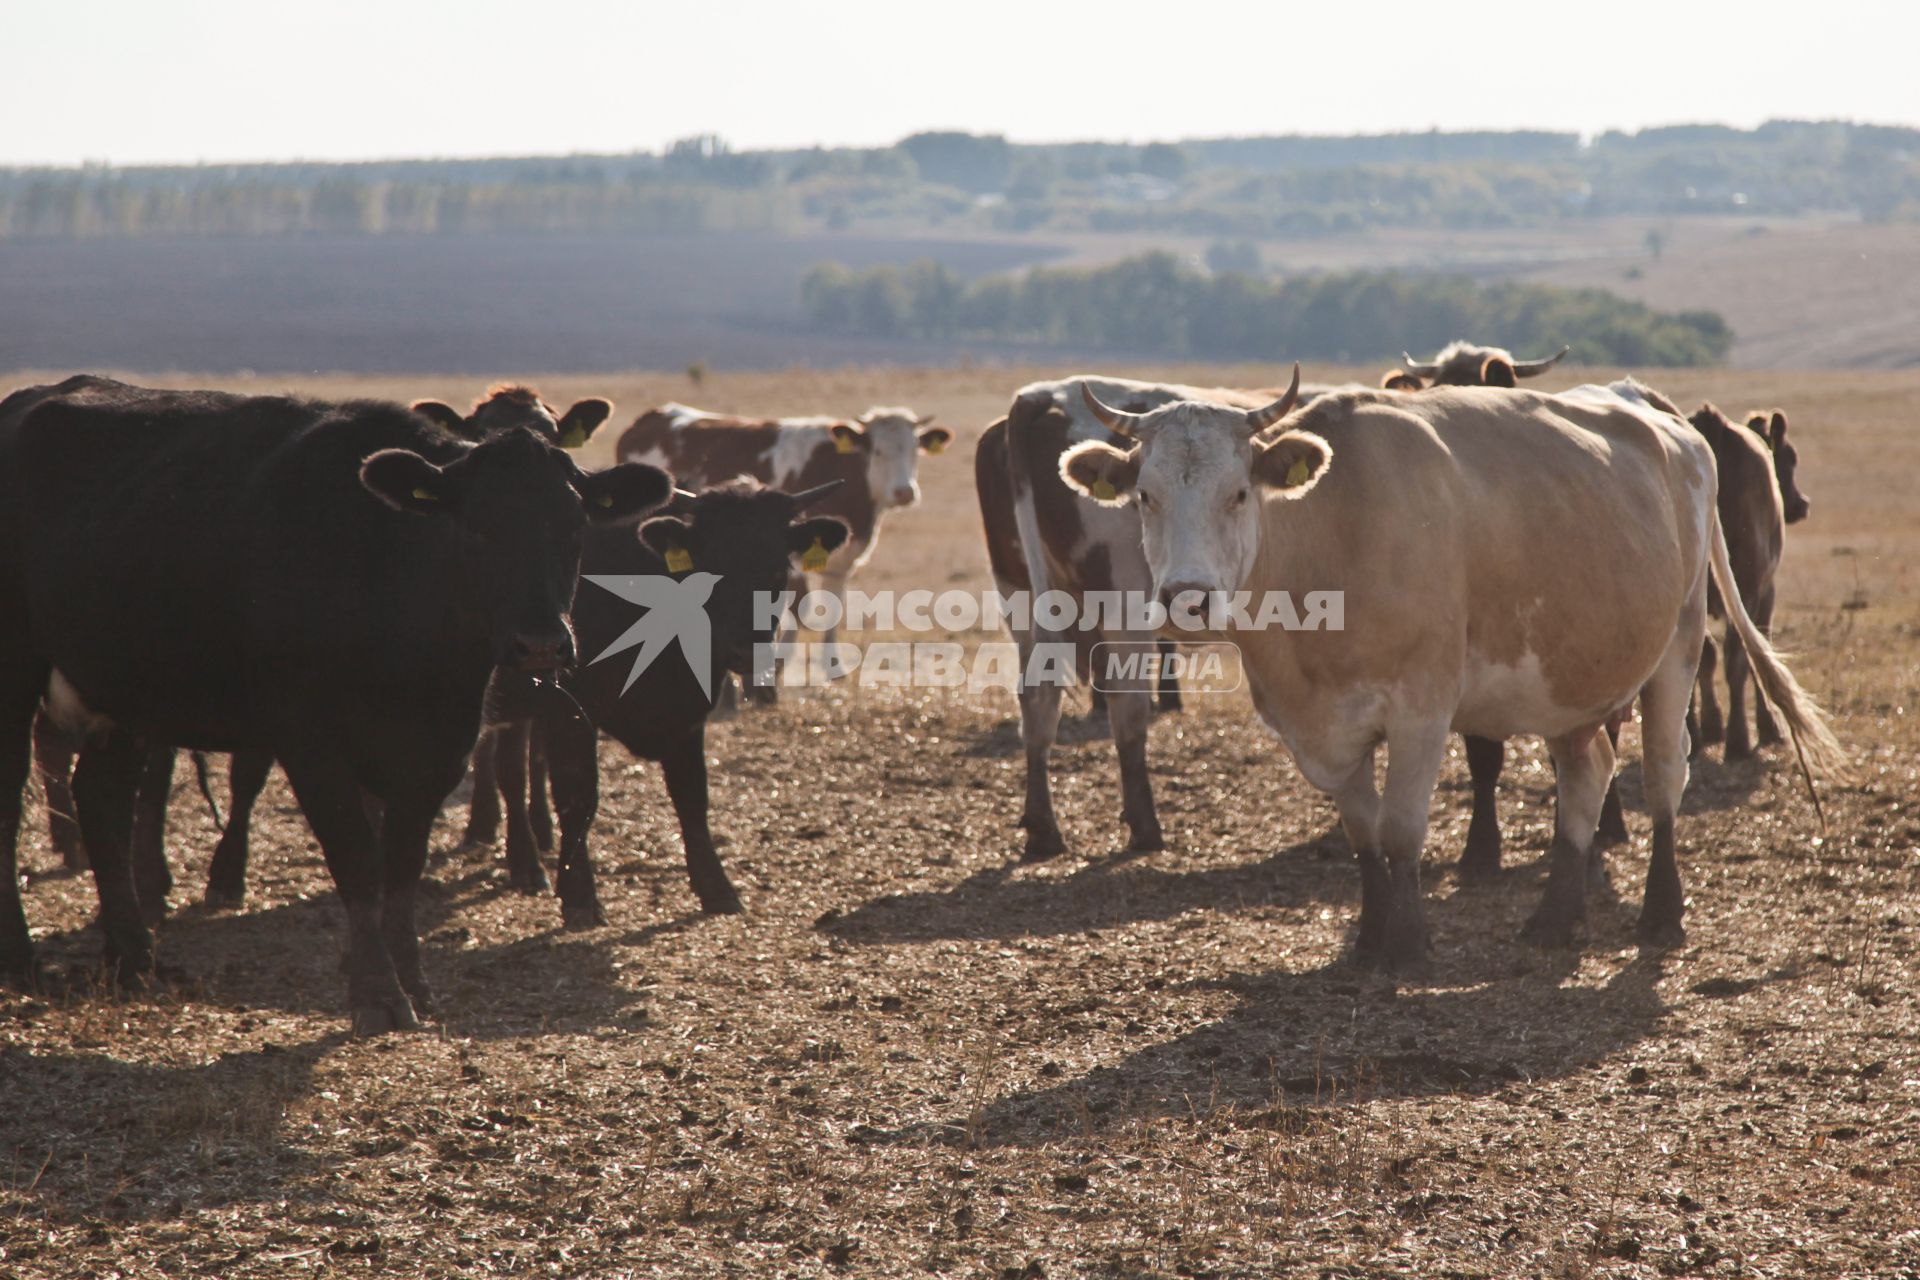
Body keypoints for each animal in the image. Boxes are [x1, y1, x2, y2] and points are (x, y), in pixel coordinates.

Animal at [0, 376, 675, 1036]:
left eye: (575, 528)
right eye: (475, 527)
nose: (540, 644)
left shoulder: (439, 748)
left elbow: (401, 868)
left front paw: (415, 983)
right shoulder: (311, 747)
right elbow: (358, 863)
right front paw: (378, 994)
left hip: (124, 688)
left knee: (102, 799)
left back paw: (133, 960)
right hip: (21, 666)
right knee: (18, 800)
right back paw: (24, 962)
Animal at [474, 479, 848, 932]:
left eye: (778, 570)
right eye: (709, 571)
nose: (748, 652)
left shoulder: (687, 715)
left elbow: (692, 797)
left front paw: (717, 888)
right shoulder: (571, 710)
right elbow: (579, 797)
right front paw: (580, 896)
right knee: (507, 771)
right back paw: (519, 857)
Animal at [1067, 364, 1843, 967]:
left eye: (1237, 493)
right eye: (1145, 496)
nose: (1187, 598)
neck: (1333, 537)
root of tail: (1668, 422)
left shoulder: (1421, 708)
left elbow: (1401, 828)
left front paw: (1408, 943)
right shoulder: (1320, 729)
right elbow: (1363, 833)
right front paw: (1370, 937)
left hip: (1676, 646)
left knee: (1661, 776)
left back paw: (1661, 912)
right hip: (1572, 674)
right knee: (1586, 776)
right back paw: (1555, 916)